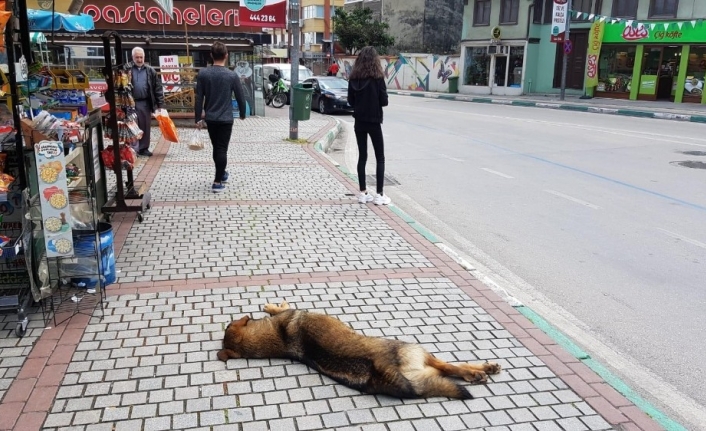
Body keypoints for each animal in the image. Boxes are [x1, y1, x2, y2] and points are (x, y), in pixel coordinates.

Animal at [216, 302, 500, 400]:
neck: (279, 336)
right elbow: (280, 307)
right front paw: (271, 306)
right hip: (417, 350)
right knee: (451, 366)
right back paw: (480, 371)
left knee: (450, 369)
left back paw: (483, 370)